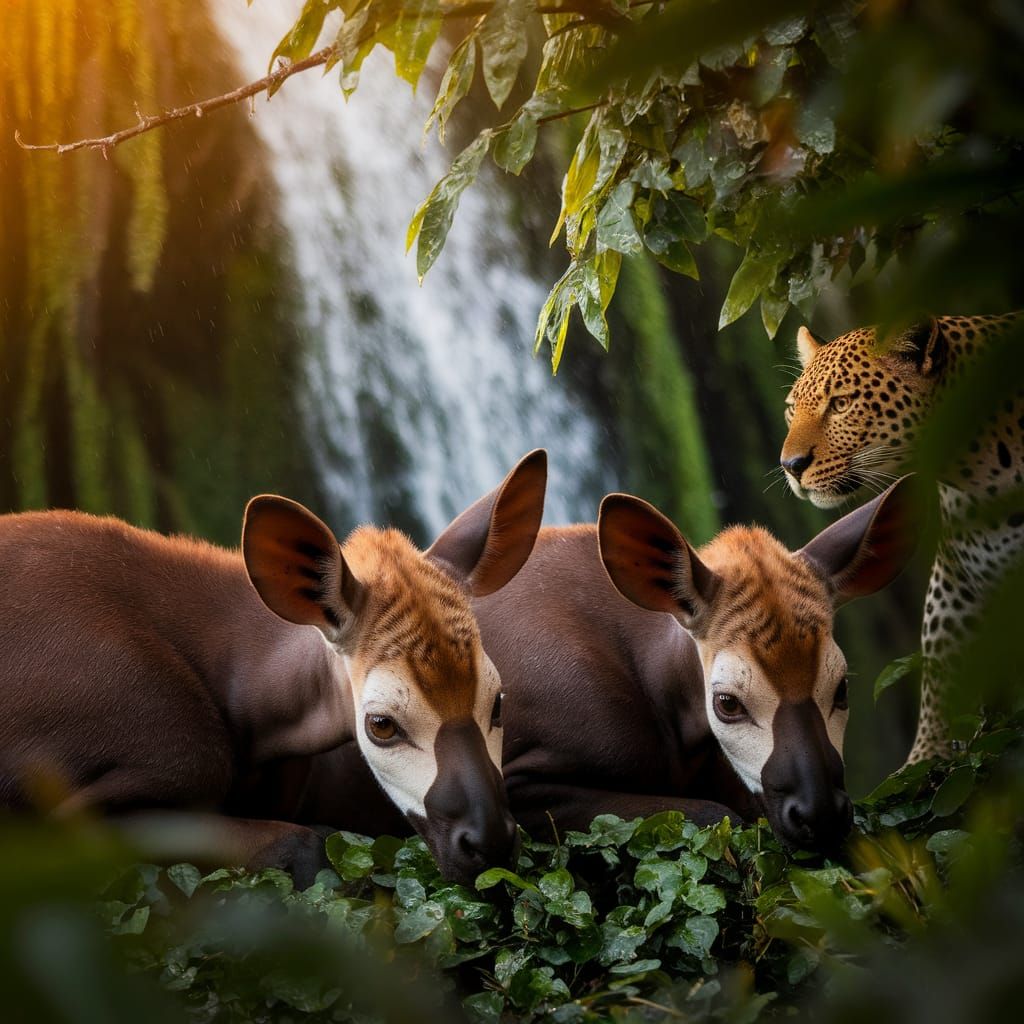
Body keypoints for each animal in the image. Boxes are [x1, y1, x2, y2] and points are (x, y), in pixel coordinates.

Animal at [779, 313, 1023, 763]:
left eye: (841, 404)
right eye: (792, 409)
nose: (790, 465)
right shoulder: (959, 575)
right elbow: (940, 666)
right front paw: (924, 758)